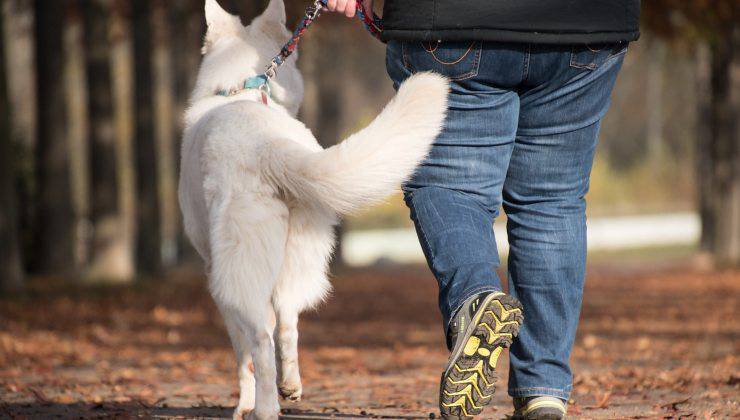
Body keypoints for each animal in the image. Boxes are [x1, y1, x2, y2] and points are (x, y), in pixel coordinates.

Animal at [178, 1, 450, 418]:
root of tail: (266, 144)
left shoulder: (214, 271)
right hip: (299, 254)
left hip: (236, 271)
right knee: (288, 322)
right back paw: (290, 387)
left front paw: (242, 403)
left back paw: (264, 407)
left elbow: (242, 356)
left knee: (260, 339)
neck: (241, 90)